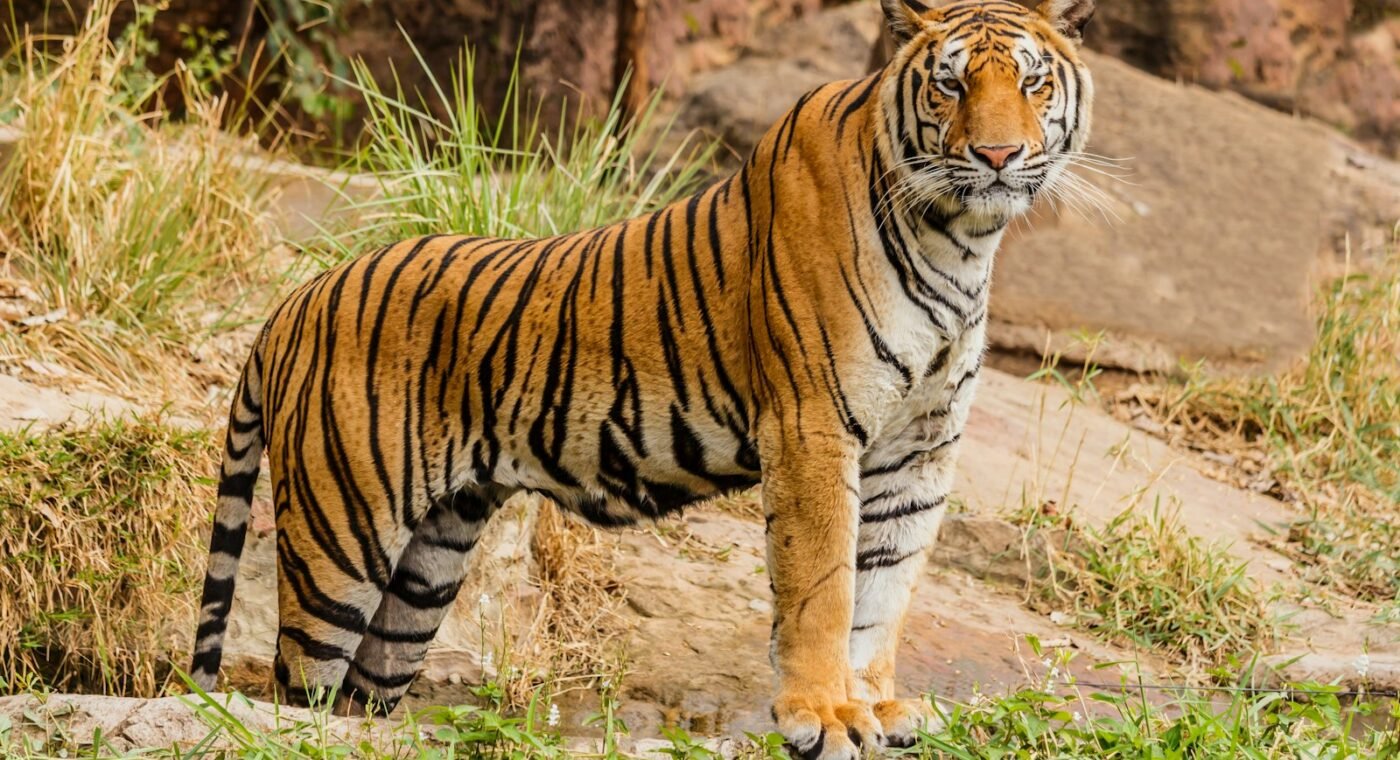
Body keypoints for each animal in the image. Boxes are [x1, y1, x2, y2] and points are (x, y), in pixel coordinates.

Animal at [189, 1, 1094, 756]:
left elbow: (885, 591)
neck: (960, 238)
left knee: (359, 698)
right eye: (950, 83)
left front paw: (873, 707)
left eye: (1031, 80)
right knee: (295, 690)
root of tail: (295, 300)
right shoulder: (813, 427)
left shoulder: (920, 448)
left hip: (428, 564)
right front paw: (825, 716)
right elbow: (825, 587)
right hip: (341, 538)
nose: (998, 154)